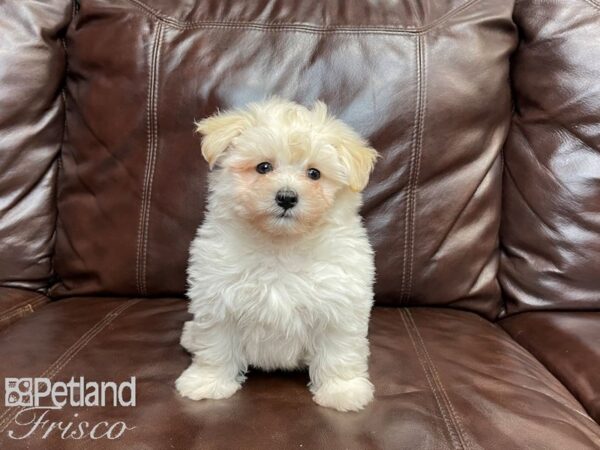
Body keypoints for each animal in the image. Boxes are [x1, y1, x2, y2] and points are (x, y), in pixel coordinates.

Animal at [176, 97, 378, 412]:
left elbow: (338, 352)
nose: (286, 197)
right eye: (263, 167)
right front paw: (208, 382)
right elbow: (216, 346)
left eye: (314, 173)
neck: (281, 245)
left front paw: (342, 391)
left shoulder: (341, 305)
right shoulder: (219, 298)